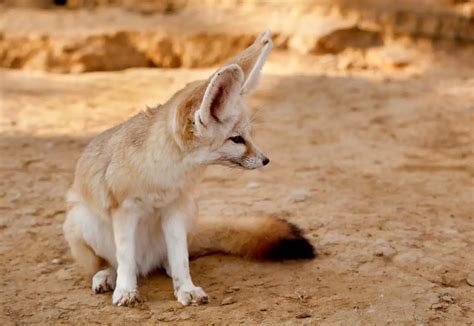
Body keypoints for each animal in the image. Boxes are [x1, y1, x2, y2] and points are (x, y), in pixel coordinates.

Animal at [63, 29, 314, 306]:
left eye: (249, 135)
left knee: (171, 256)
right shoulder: (125, 210)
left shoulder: (174, 208)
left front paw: (186, 288)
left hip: (189, 212)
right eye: (237, 139)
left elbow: (180, 256)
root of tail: (145, 264)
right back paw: (106, 276)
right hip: (81, 221)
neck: (164, 176)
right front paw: (126, 291)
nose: (265, 160)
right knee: (114, 264)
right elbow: (125, 258)